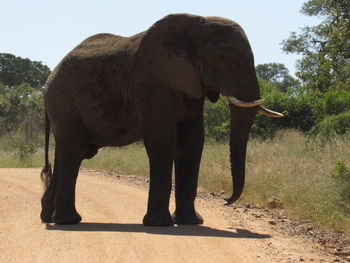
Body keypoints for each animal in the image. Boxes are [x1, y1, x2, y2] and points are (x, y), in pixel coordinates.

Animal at [39, 13, 284, 227]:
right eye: (224, 59)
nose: (226, 200)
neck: (197, 25)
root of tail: (48, 81)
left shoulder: (191, 84)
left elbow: (192, 142)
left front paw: (191, 222)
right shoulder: (152, 82)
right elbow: (162, 139)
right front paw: (160, 224)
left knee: (73, 153)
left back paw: (49, 217)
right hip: (64, 101)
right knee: (73, 151)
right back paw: (68, 221)